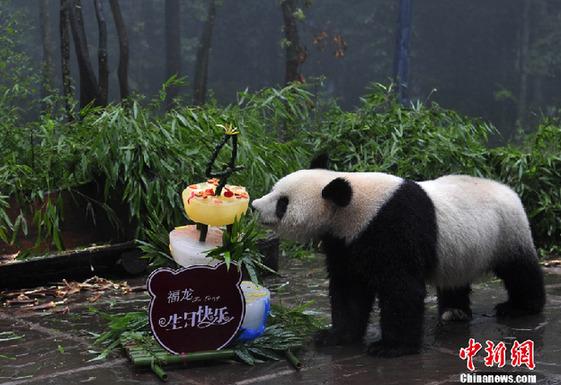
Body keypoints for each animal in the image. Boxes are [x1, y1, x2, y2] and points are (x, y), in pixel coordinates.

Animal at [252, 154, 544, 356]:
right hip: (461, 248)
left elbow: (400, 288)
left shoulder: (392, 227)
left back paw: (520, 307)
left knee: (519, 270)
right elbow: (349, 288)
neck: (353, 207)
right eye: (275, 189)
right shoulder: (346, 241)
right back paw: (454, 311)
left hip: (506, 231)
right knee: (455, 276)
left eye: (283, 203)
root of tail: (508, 189)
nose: (254, 206)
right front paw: (335, 336)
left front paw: (390, 347)